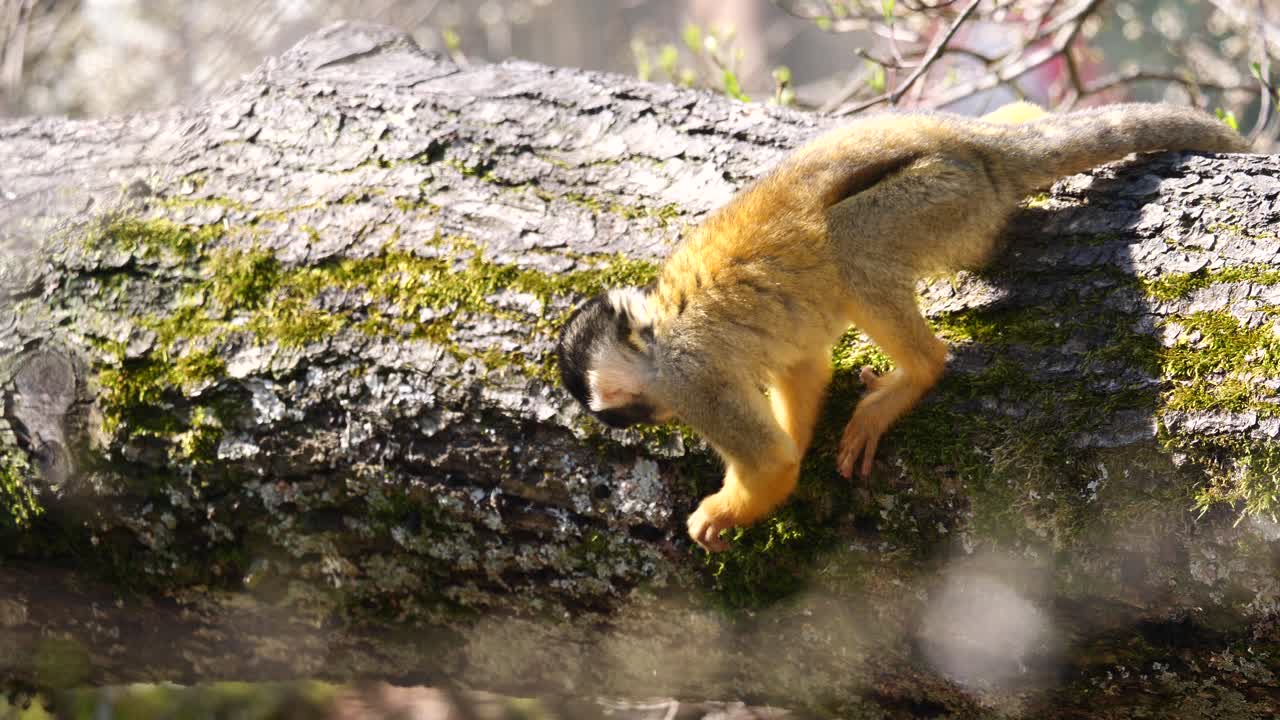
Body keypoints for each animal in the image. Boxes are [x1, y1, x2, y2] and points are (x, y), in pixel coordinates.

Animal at [556, 102, 1248, 552]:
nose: (637, 423)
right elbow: (804, 366)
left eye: (623, 413)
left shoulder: (689, 381)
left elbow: (772, 463)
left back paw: (918, 372)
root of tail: (976, 145)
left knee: (854, 246)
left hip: (941, 195)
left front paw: (722, 513)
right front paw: (799, 434)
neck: (657, 331)